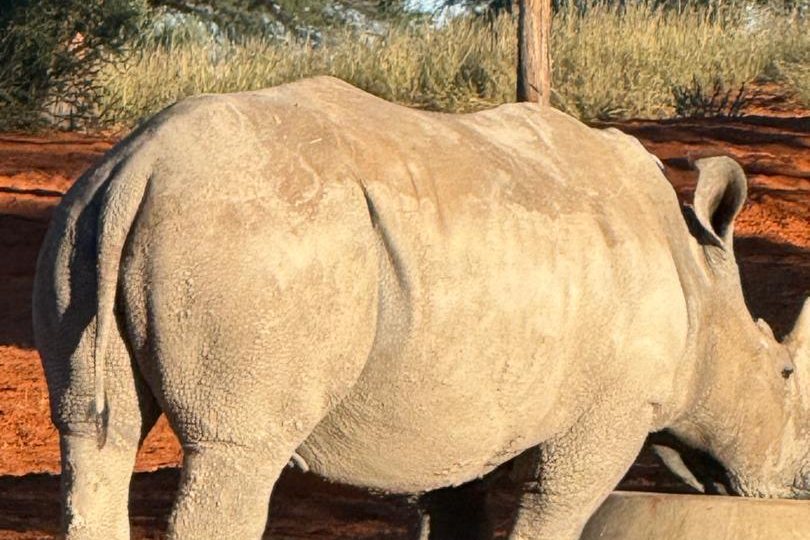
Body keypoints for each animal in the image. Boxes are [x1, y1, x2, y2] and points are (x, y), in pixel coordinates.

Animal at [33, 76, 810, 540]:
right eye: (782, 374)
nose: (797, 483)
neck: (700, 285)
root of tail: (139, 165)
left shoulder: (465, 407)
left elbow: (455, 503)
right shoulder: (610, 412)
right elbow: (555, 509)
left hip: (84, 218)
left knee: (94, 436)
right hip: (255, 232)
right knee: (237, 451)